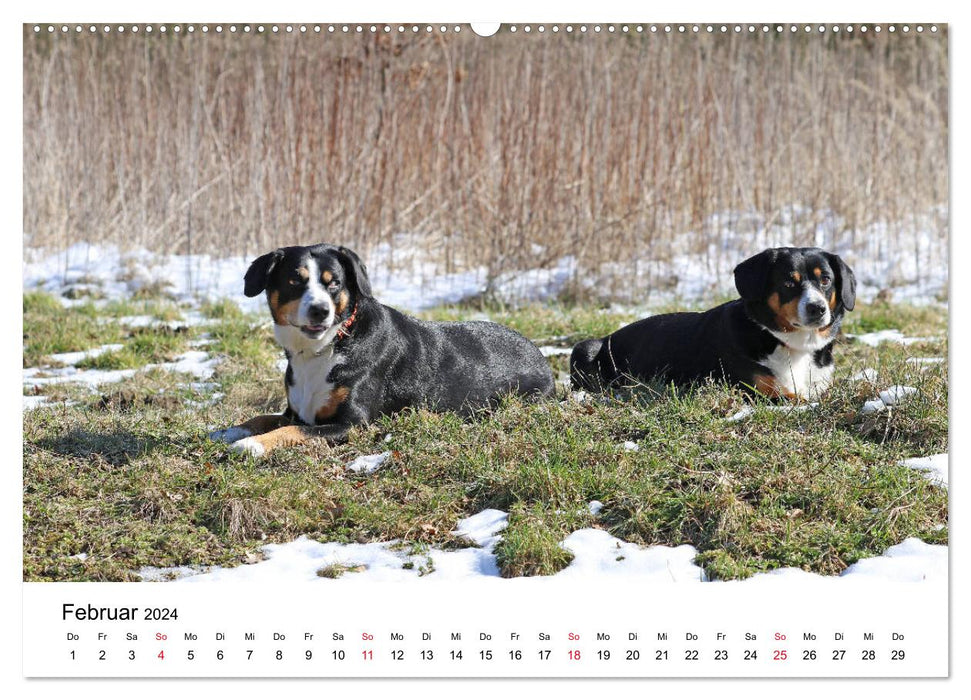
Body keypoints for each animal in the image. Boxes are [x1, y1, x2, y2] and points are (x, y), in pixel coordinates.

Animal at [210, 243, 556, 456]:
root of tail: (539, 354)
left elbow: (294, 431)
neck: (328, 347)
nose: (320, 310)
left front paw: (252, 445)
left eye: (333, 283)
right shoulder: (294, 411)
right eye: (296, 281)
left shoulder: (352, 424)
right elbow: (261, 417)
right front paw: (227, 432)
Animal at [568, 247, 860, 400]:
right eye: (789, 282)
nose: (817, 308)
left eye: (826, 280)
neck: (791, 345)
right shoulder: (757, 389)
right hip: (585, 348)